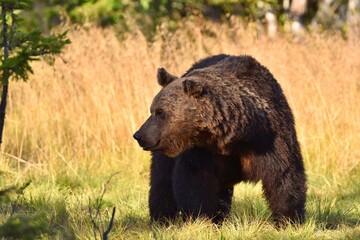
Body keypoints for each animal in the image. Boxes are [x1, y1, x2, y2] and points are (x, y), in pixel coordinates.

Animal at [134, 54, 306, 225]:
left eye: (160, 112)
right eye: (152, 110)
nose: (138, 135)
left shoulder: (269, 138)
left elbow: (283, 176)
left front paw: (289, 219)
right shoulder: (202, 151)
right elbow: (196, 183)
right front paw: (201, 218)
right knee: (161, 180)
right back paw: (162, 218)